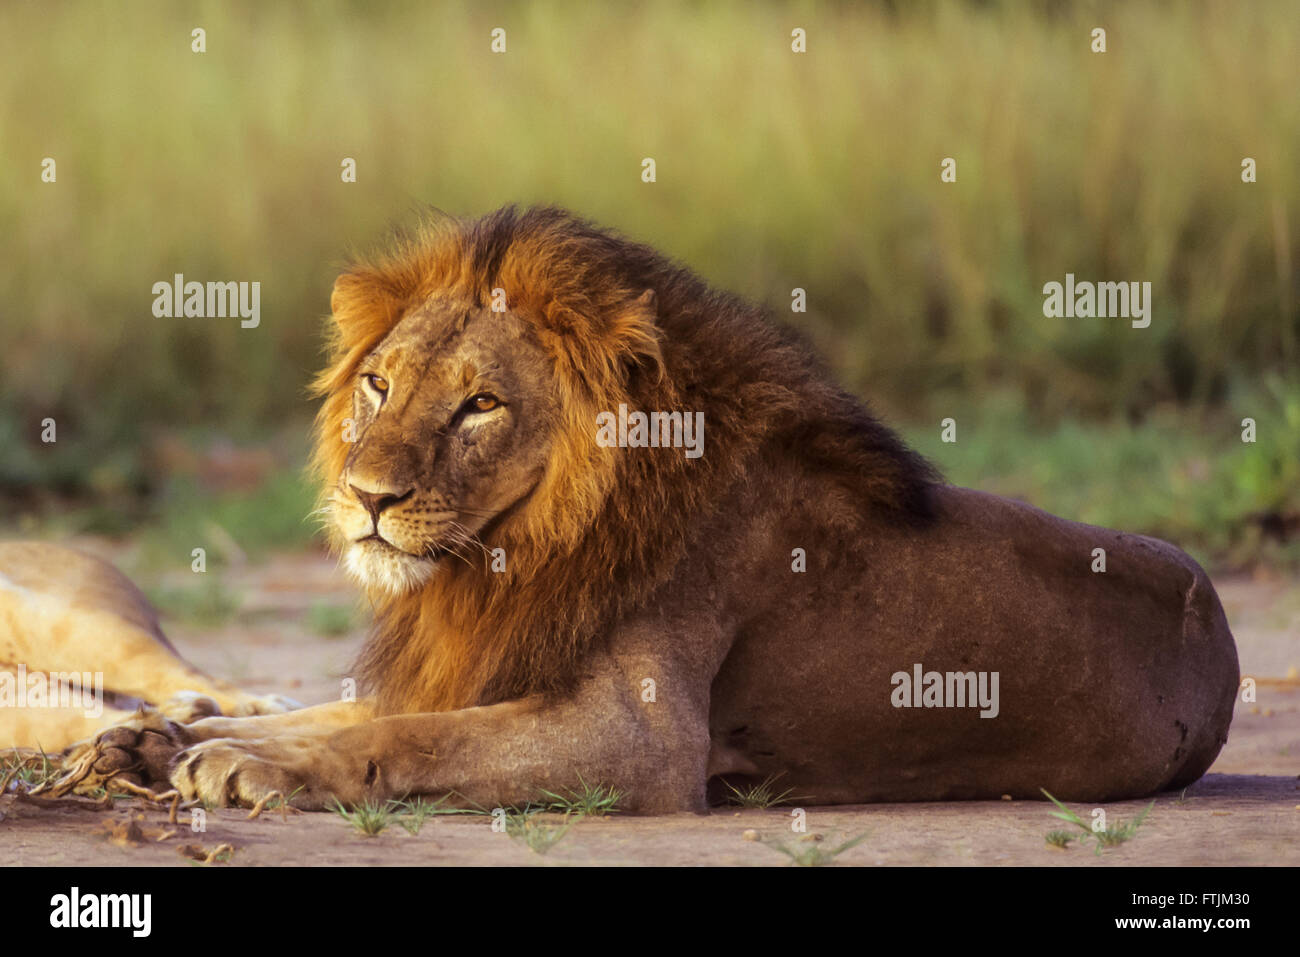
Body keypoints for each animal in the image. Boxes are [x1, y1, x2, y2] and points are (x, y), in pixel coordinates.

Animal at [0, 205, 1237, 811]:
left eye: (481, 406)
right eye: (380, 385)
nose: (365, 499)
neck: (505, 559)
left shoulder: (641, 740)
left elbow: (407, 736)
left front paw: (248, 768)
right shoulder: (482, 663)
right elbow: (332, 712)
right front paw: (156, 741)